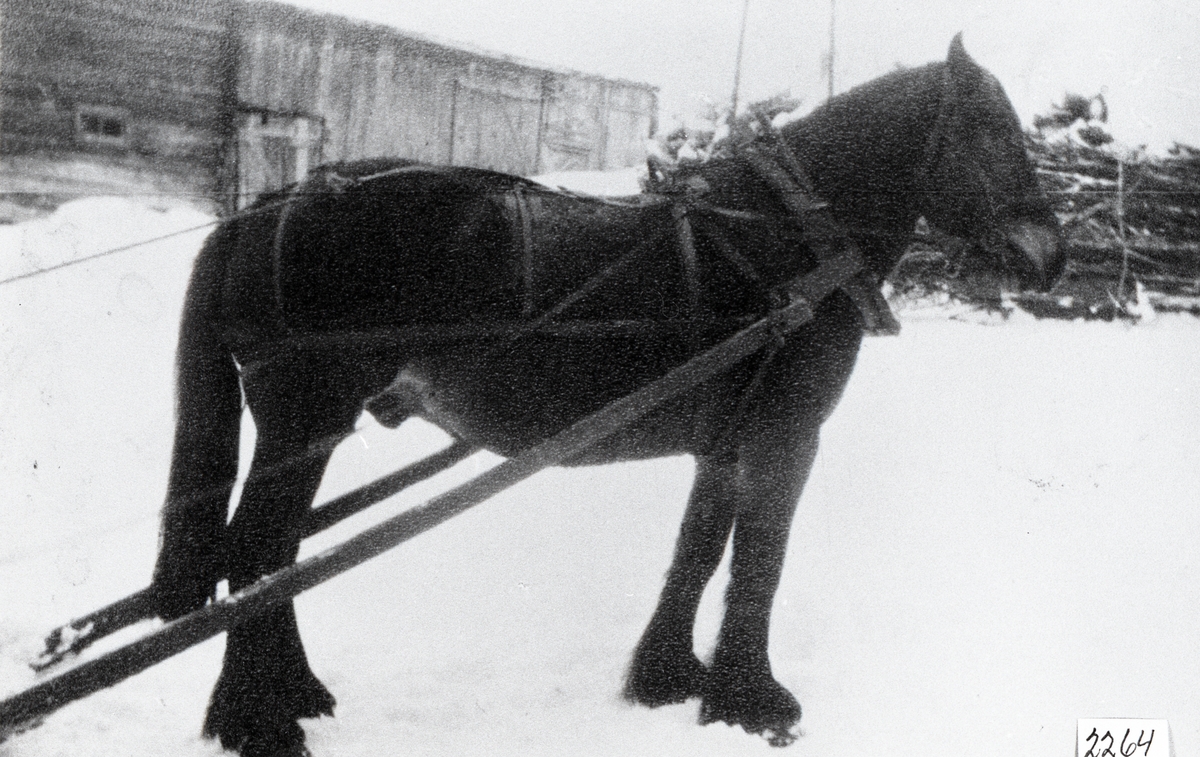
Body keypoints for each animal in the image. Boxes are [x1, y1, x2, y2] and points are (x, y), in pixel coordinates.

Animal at [147, 38, 1060, 753]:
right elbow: (759, 563)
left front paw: (669, 679)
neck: (788, 239)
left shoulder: (726, 442)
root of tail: (271, 204)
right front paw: (753, 702)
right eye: (990, 128)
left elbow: (698, 554)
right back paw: (260, 722)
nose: (1048, 255)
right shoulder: (786, 437)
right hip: (305, 420)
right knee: (258, 558)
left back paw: (293, 695)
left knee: (275, 560)